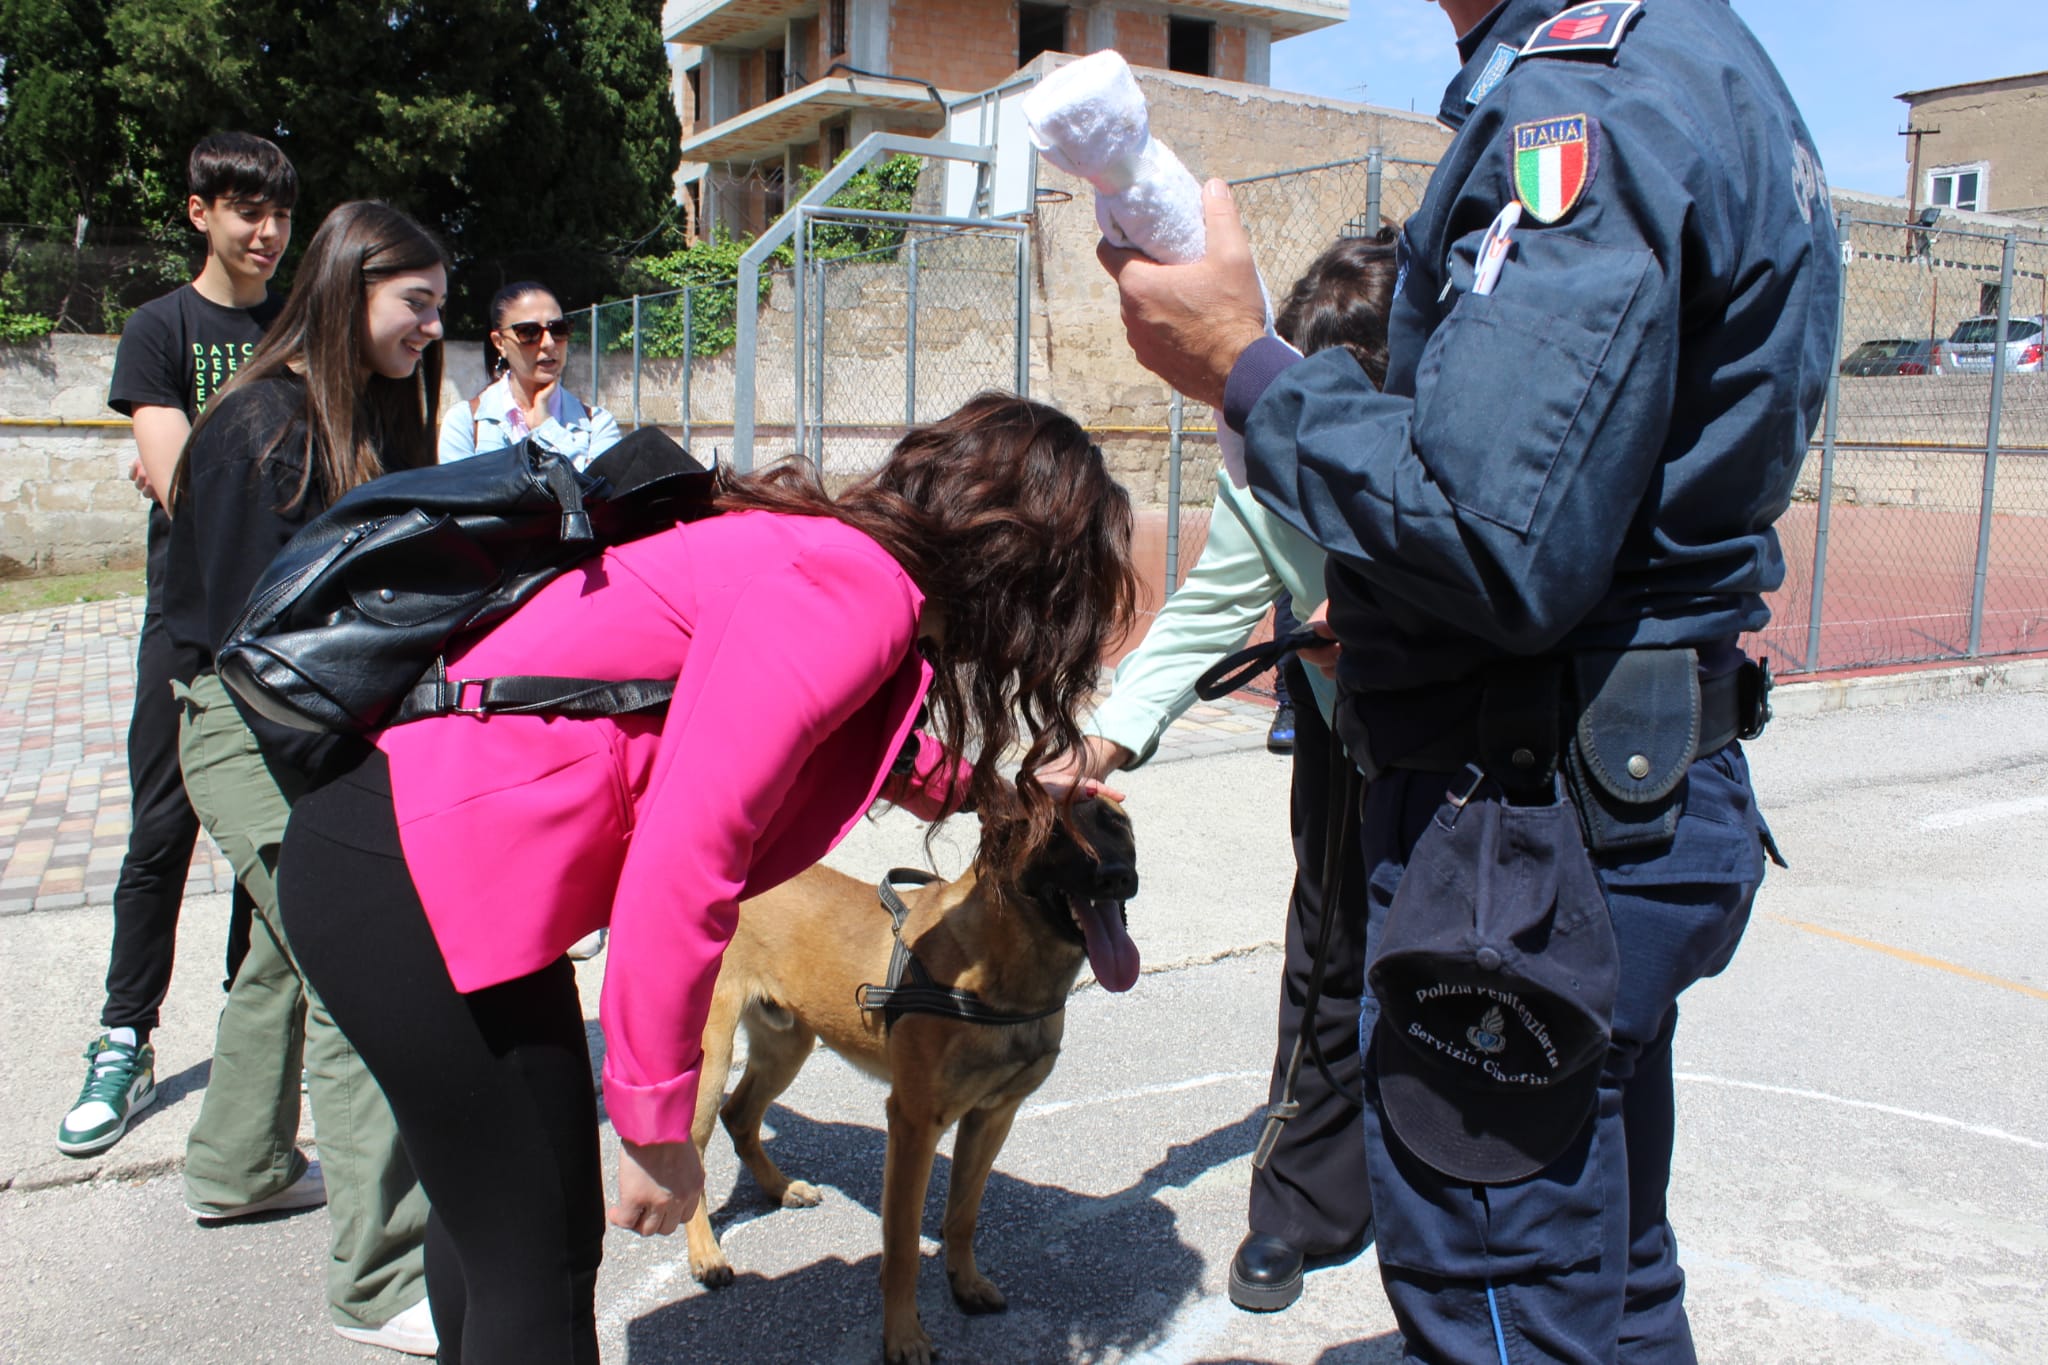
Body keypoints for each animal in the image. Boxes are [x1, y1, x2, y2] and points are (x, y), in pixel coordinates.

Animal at [682, 797, 1140, 1365]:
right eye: (1055, 833)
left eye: (1115, 824)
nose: (1117, 875)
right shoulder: (914, 1125)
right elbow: (901, 1246)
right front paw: (903, 1336)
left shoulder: (992, 1117)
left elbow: (963, 1215)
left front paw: (965, 1284)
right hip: (712, 1058)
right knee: (692, 1150)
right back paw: (706, 1254)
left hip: (786, 1046)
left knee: (740, 1115)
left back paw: (780, 1187)